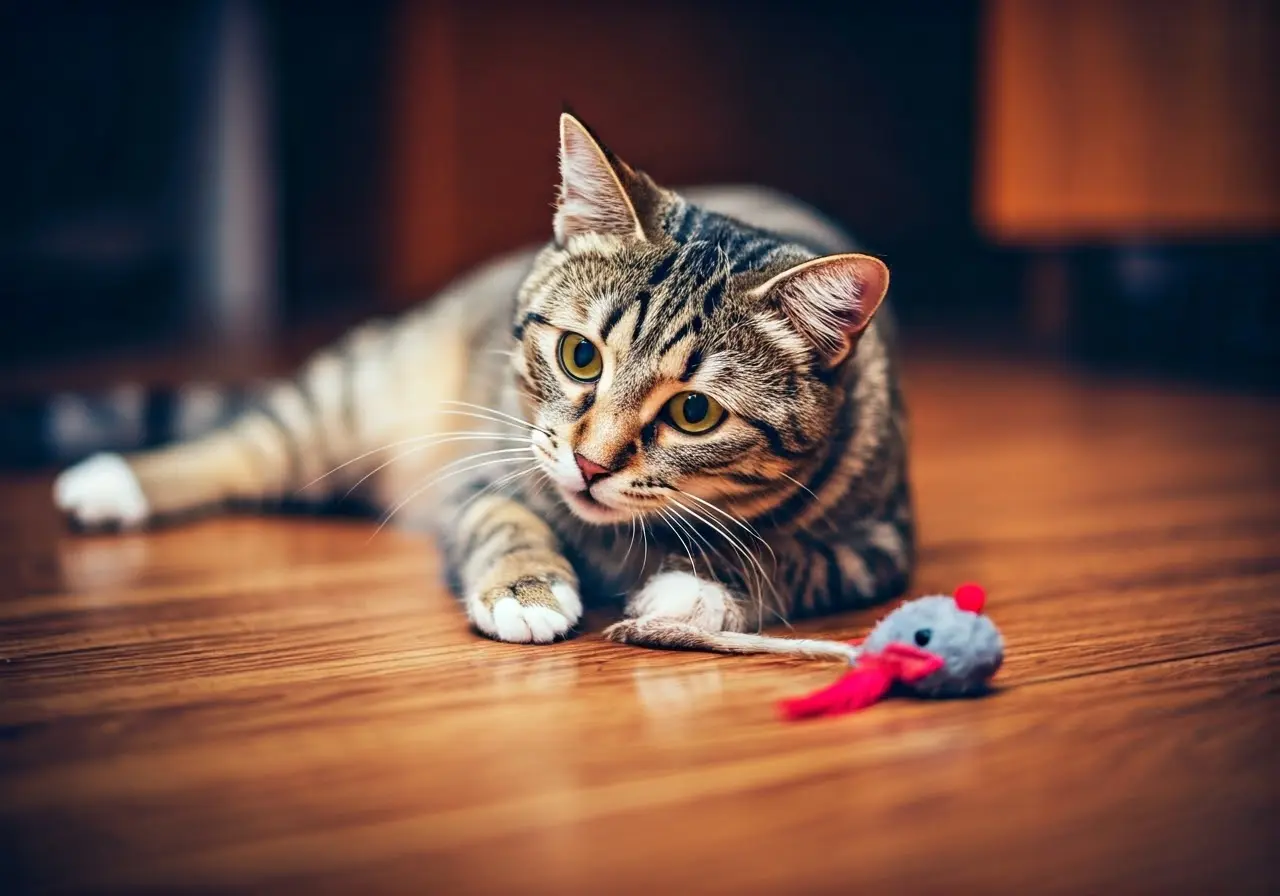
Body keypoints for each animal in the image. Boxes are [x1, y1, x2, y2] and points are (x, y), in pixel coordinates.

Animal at [52, 113, 911, 660]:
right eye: (580, 357)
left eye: (694, 411)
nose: (591, 465)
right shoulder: (486, 462)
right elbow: (502, 517)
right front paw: (526, 589)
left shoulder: (878, 545)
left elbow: (779, 558)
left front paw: (690, 596)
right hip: (352, 397)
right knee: (250, 443)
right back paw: (115, 481)